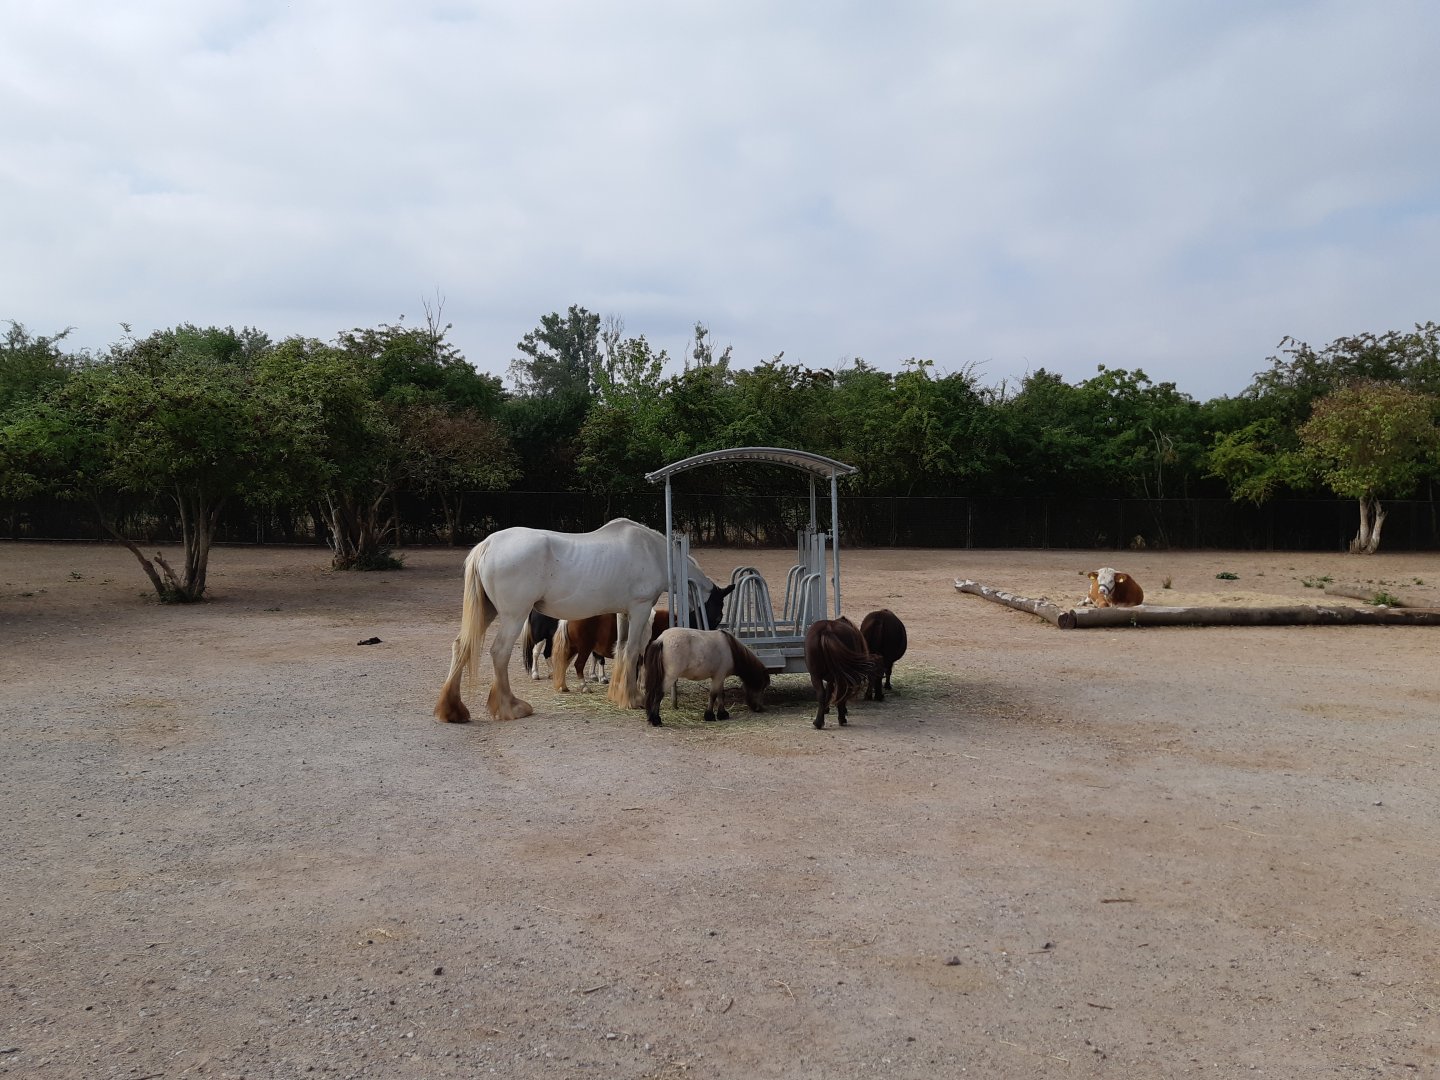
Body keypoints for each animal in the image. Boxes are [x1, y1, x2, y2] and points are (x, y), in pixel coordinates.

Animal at [434, 518, 724, 723]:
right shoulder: (640, 609)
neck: (652, 551)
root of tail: (488, 544)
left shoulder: (624, 613)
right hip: (513, 616)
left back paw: (453, 711)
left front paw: (617, 693)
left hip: (488, 611)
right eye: (719, 611)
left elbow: (621, 649)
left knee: (462, 647)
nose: (709, 643)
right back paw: (512, 708)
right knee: (499, 653)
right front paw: (633, 699)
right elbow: (632, 651)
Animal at [642, 628, 771, 727]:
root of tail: (662, 639)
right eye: (762, 686)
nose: (759, 708)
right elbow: (713, 695)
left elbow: (720, 694)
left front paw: (722, 714)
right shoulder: (718, 677)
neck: (731, 650)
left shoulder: (720, 677)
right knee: (659, 694)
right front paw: (709, 715)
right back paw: (656, 720)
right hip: (670, 677)